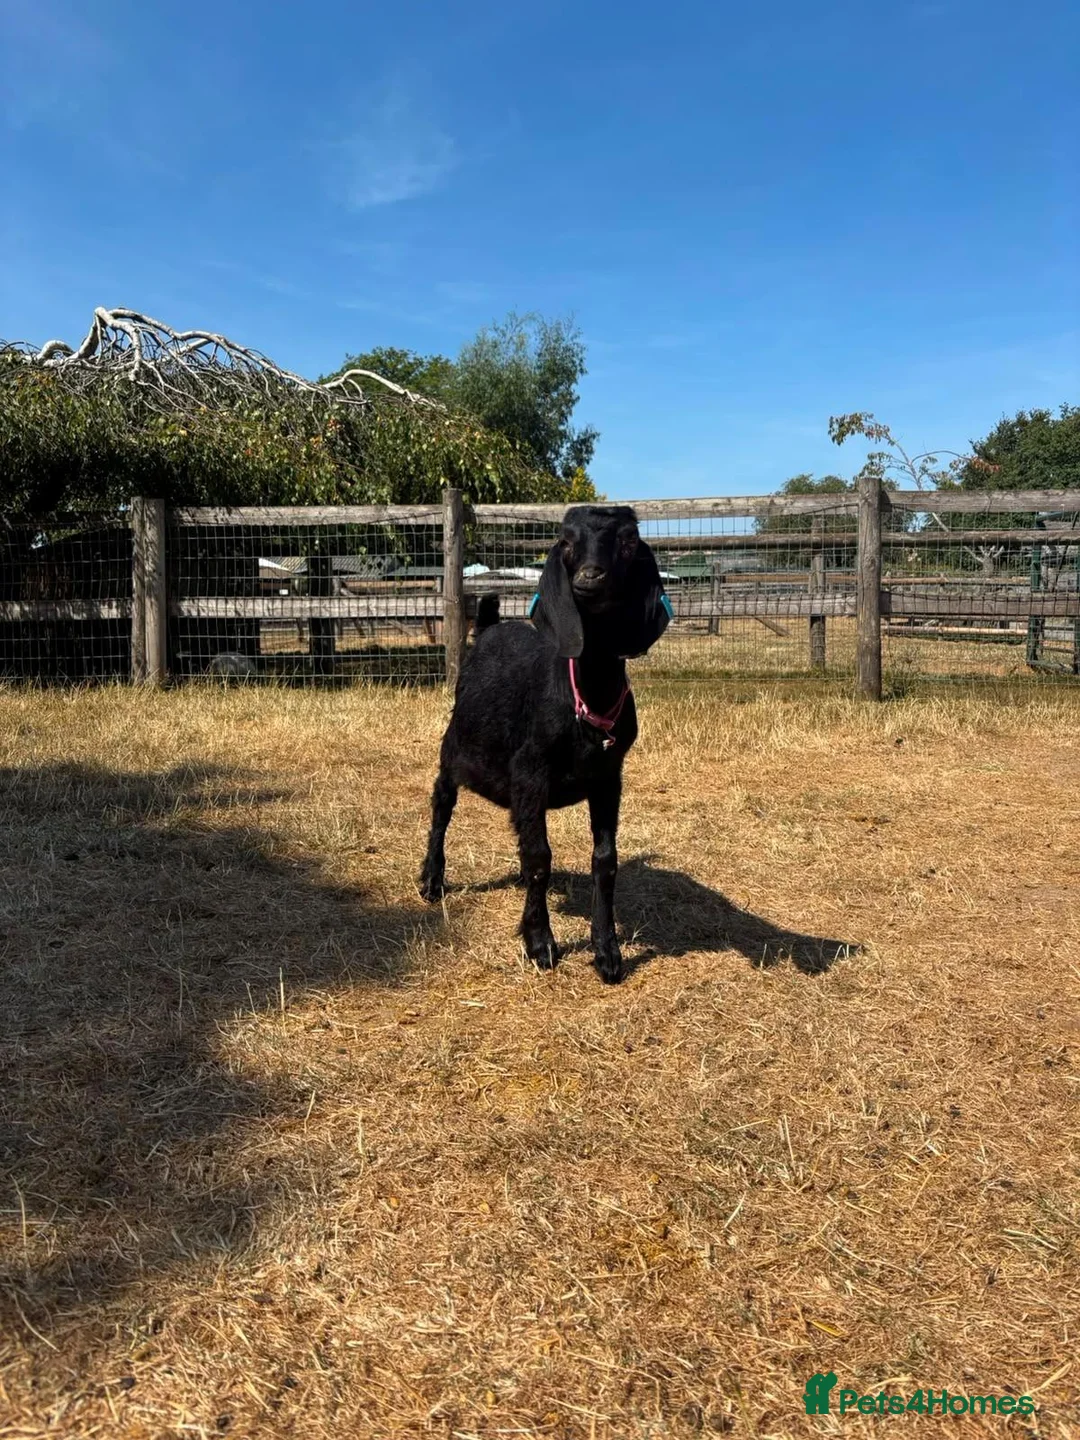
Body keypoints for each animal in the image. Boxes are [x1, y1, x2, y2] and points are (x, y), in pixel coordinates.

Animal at [419, 505, 671, 983]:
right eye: (567, 542)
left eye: (629, 541)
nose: (590, 577)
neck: (585, 696)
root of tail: (490, 627)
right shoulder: (530, 771)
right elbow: (540, 855)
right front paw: (540, 943)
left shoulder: (609, 776)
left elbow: (605, 858)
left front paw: (607, 952)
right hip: (453, 748)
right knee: (442, 805)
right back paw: (431, 879)